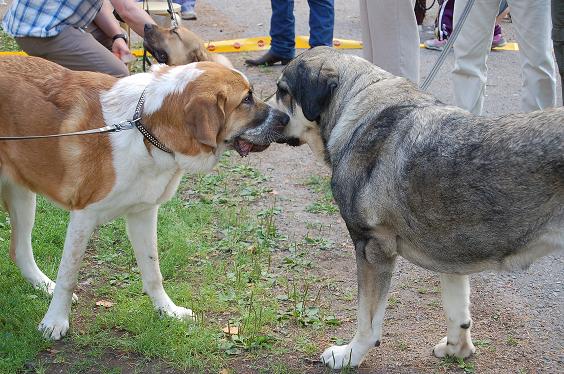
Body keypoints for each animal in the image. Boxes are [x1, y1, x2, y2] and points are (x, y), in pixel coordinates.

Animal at [0, 55, 288, 338]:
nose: (285, 118)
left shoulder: (143, 213)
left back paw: (43, 286)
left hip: (23, 198)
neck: (143, 129)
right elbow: (68, 276)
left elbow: (153, 271)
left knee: (20, 250)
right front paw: (55, 321)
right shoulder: (83, 217)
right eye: (246, 99)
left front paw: (167, 310)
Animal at [246, 46, 560, 368]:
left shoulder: (371, 249)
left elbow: (368, 319)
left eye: (283, 91)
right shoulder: (451, 254)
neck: (357, 107)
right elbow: (457, 310)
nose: (263, 115)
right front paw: (457, 349)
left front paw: (350, 354)